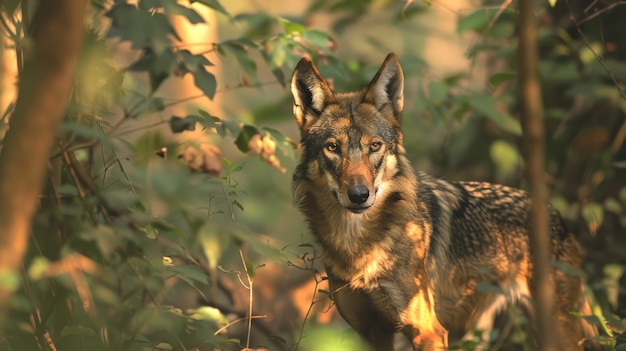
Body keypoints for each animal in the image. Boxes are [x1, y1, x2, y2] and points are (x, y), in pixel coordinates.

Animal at [288, 53, 596, 351]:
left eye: (374, 146)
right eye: (332, 147)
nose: (359, 195)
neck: (358, 245)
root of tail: (554, 213)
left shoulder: (427, 332)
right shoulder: (371, 333)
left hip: (555, 330)